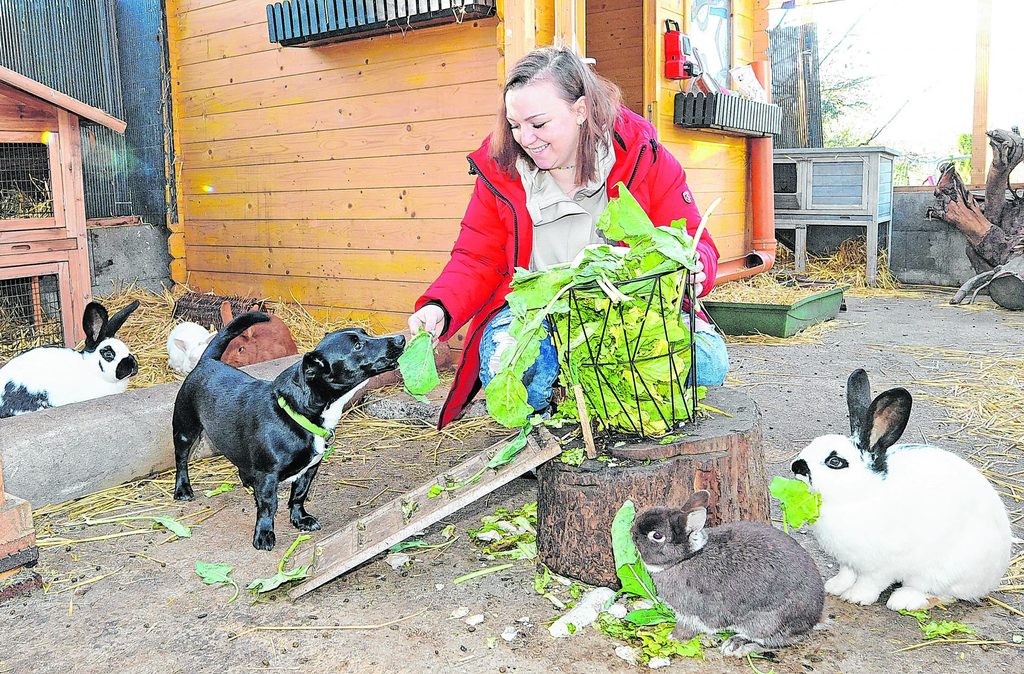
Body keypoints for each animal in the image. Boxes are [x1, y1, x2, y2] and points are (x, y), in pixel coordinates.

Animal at [172, 311, 403, 549]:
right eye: (357, 346)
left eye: (365, 334)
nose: (401, 339)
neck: (298, 413)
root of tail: (207, 361)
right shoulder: (268, 475)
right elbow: (268, 506)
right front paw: (264, 534)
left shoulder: (310, 469)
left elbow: (299, 495)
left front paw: (300, 519)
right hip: (185, 431)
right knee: (181, 461)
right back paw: (183, 490)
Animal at [630, 487, 823, 655]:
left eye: (657, 535)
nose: (632, 532)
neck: (685, 558)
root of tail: (814, 616)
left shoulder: (692, 613)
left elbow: (688, 627)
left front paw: (673, 637)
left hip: (767, 621)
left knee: (775, 640)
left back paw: (736, 645)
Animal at [790, 366, 1007, 610]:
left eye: (835, 462)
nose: (797, 466)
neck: (861, 494)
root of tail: (995, 575)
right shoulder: (848, 562)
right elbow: (846, 575)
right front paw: (834, 587)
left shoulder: (881, 567)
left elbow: (870, 582)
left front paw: (856, 597)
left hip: (943, 572)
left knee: (942, 594)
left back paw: (903, 599)